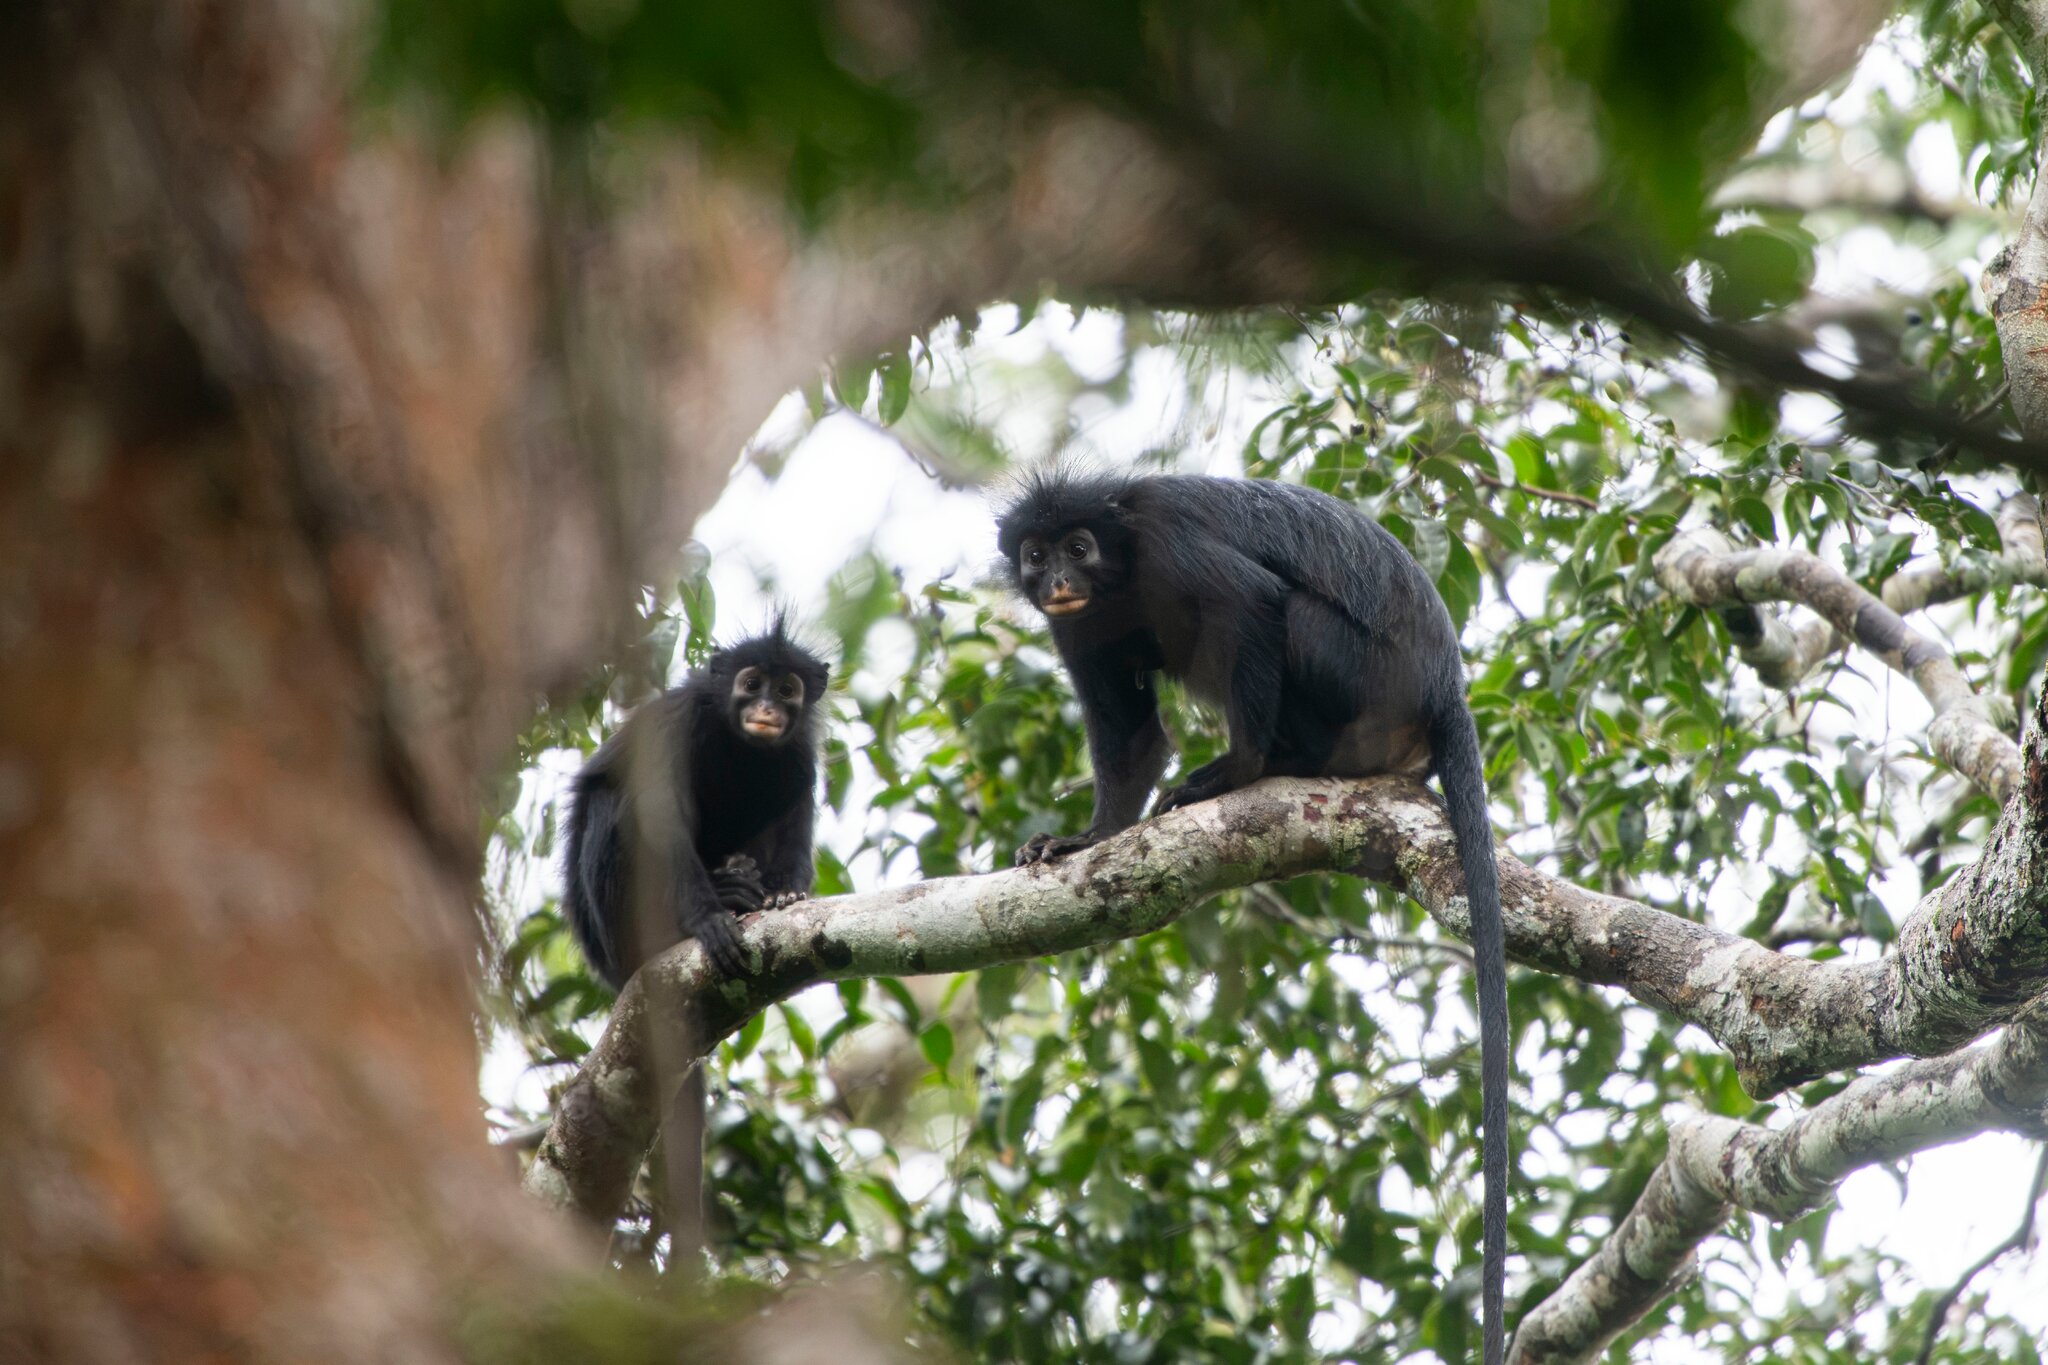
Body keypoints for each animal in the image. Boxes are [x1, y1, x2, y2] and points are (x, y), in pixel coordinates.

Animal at [563, 623, 830, 989]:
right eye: (752, 685)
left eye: (786, 690)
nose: (766, 708)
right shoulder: (677, 721)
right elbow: (661, 814)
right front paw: (707, 917)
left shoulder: (801, 752)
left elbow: (795, 820)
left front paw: (786, 892)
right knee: (608, 801)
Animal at [997, 469, 1511, 1365]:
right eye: (1036, 554)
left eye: (1079, 547)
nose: (1057, 577)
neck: (1120, 570)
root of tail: (1443, 684)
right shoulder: (1079, 626)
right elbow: (1130, 736)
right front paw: (1084, 837)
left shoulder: (1167, 545)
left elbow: (1252, 602)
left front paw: (1235, 769)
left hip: (1359, 676)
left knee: (1288, 613)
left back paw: (1273, 762)